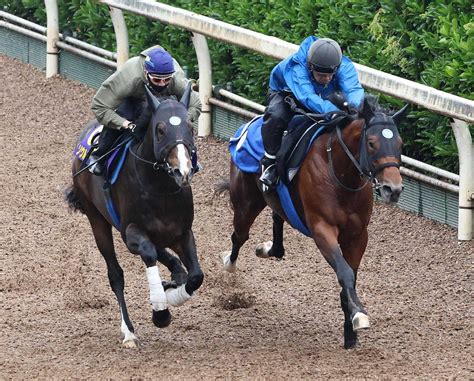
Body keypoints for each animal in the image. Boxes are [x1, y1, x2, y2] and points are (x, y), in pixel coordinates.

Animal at [65, 84, 204, 346]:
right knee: (116, 274)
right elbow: (148, 253)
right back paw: (128, 331)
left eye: (190, 128)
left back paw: (175, 273)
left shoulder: (182, 232)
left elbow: (196, 276)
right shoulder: (131, 232)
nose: (183, 172)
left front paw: (174, 290)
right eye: (160, 129)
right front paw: (160, 311)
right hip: (97, 219)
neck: (160, 189)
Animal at [218, 98, 408, 348]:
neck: (340, 174)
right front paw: (359, 314)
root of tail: (249, 125)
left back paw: (267, 249)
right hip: (246, 201)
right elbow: (345, 273)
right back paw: (229, 265)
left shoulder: (358, 235)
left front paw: (350, 331)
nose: (392, 189)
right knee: (239, 236)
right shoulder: (322, 229)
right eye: (371, 143)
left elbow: (350, 278)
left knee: (277, 222)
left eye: (400, 143)